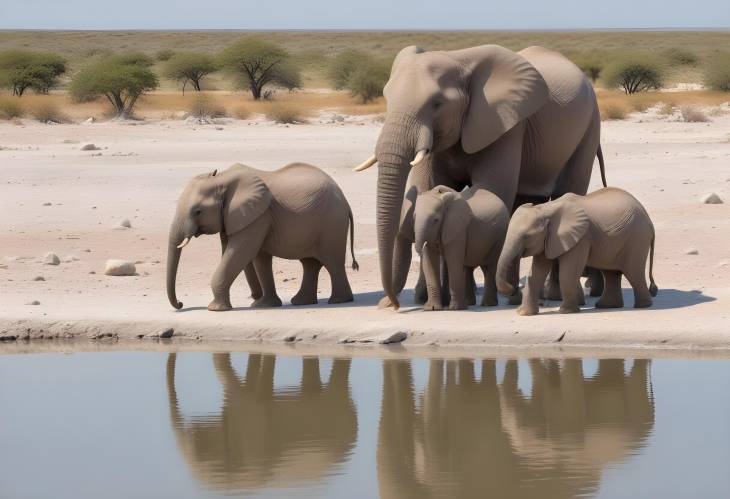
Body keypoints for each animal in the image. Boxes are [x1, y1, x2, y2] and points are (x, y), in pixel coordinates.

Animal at [166, 163, 358, 312]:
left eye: (198, 211)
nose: (180, 304)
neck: (222, 178)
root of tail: (345, 201)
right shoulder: (240, 218)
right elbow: (258, 257)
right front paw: (262, 305)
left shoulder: (258, 217)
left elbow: (241, 253)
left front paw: (215, 309)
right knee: (310, 264)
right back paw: (301, 302)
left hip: (332, 225)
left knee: (332, 262)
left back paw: (338, 301)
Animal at [352, 44, 604, 308]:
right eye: (386, 98)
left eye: (437, 103)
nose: (390, 304)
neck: (458, 59)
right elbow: (428, 186)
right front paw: (428, 299)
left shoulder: (507, 123)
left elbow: (490, 189)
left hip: (589, 126)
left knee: (567, 190)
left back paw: (548, 295)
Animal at [494, 188, 656, 316]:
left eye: (526, 237)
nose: (513, 289)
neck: (546, 209)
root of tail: (649, 220)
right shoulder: (548, 239)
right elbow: (536, 273)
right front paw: (523, 314)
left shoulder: (580, 238)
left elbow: (568, 272)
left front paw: (566, 312)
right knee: (611, 272)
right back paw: (607, 306)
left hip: (637, 238)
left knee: (633, 271)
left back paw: (642, 306)